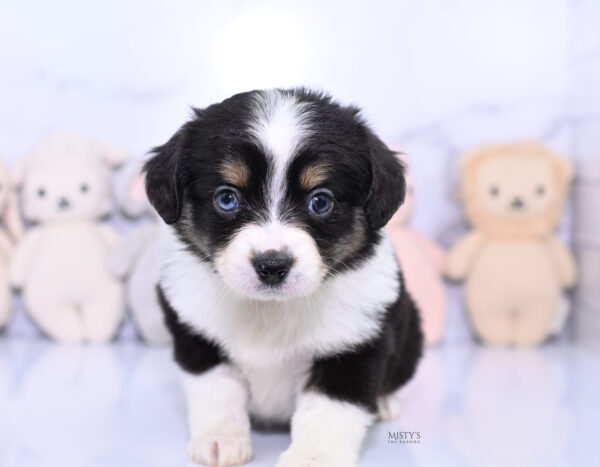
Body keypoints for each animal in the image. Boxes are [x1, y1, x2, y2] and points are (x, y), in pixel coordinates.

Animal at [144, 88, 422, 467]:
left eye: (320, 201)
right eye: (226, 198)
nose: (272, 265)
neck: (270, 309)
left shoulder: (353, 346)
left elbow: (328, 412)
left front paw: (313, 458)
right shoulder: (198, 335)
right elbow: (217, 390)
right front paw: (221, 439)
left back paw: (383, 402)